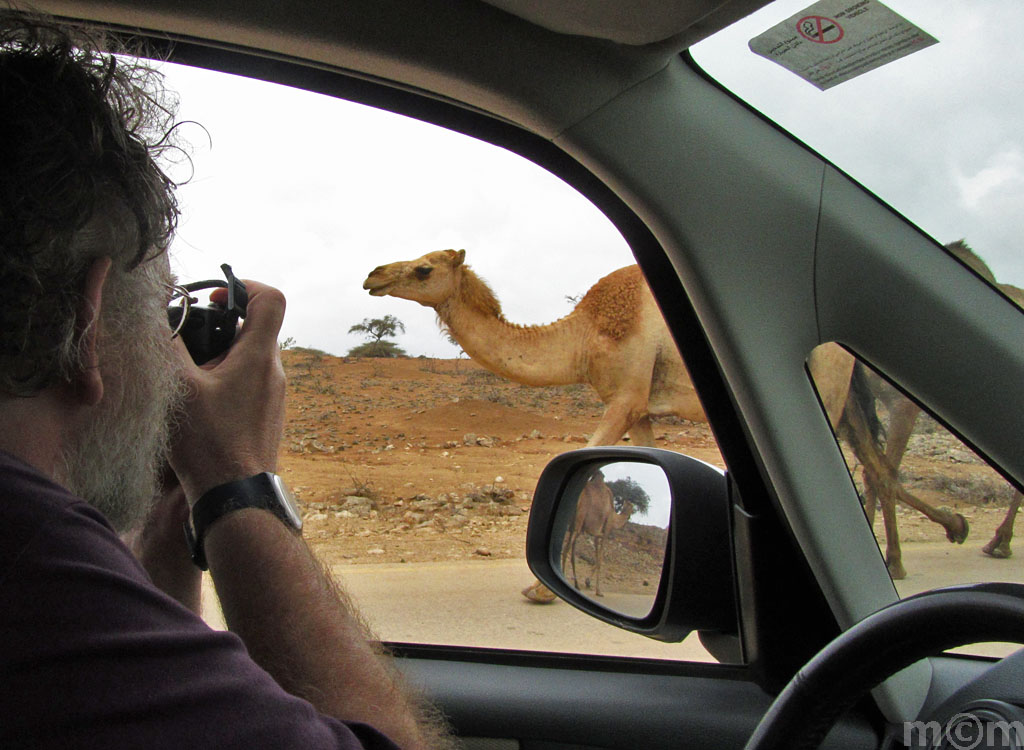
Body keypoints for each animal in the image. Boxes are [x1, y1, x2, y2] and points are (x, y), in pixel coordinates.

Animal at [561, 469, 630, 598]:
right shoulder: (605, 530)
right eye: (630, 506)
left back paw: (576, 585)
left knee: (570, 549)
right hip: (578, 522)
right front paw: (597, 589)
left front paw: (588, 582)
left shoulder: (596, 533)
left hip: (573, 525)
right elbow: (601, 558)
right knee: (567, 549)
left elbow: (597, 555)